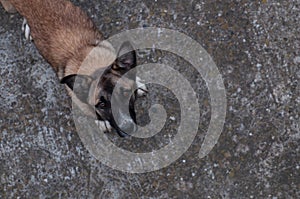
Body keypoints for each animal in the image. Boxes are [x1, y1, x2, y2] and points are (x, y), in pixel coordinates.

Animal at [0, 0, 146, 137]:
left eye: (126, 93)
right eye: (102, 105)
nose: (127, 129)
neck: (94, 65)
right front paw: (101, 121)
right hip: (10, 8)